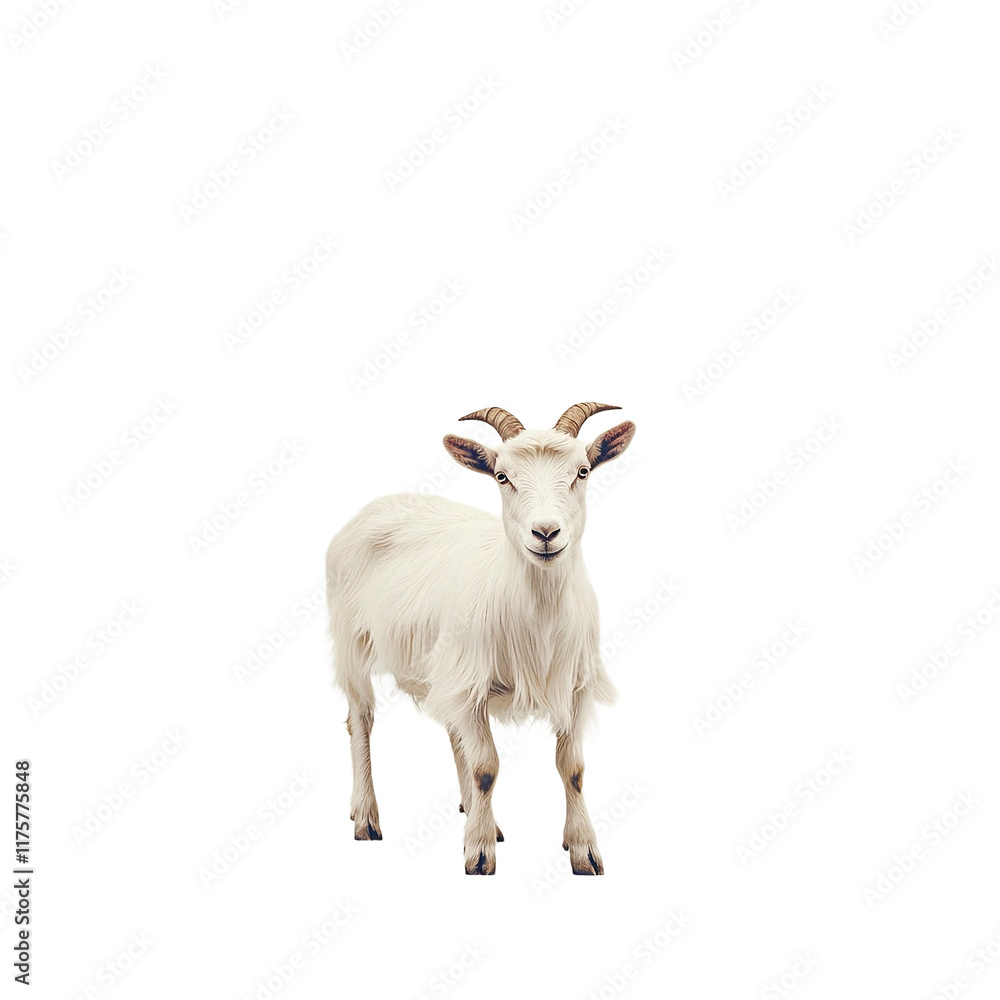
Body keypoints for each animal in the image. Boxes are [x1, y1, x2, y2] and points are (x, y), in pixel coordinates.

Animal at [325, 402, 636, 874]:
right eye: (502, 477)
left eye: (582, 471)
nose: (546, 533)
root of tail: (379, 504)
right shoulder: (470, 680)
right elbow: (486, 768)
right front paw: (480, 854)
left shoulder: (573, 685)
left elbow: (573, 768)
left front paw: (583, 850)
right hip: (353, 641)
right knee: (360, 720)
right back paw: (366, 818)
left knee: (454, 735)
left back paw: (473, 812)